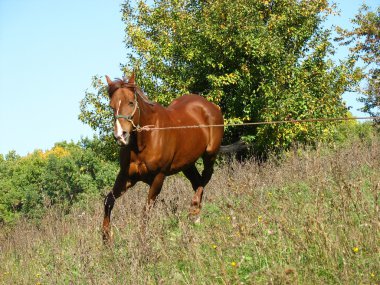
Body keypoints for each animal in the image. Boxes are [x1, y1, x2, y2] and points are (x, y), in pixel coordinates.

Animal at [102, 73, 224, 242]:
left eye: (131, 102)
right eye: (111, 106)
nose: (120, 135)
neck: (145, 140)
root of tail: (210, 105)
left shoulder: (159, 177)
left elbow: (146, 210)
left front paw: (143, 241)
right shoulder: (127, 177)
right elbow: (108, 201)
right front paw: (106, 238)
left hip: (210, 154)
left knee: (205, 177)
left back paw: (193, 208)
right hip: (187, 164)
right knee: (197, 181)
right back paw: (196, 219)